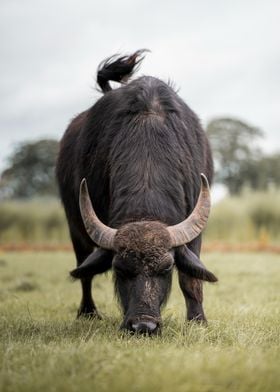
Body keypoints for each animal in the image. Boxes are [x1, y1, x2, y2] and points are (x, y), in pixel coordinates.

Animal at [57, 50, 218, 336]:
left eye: (166, 267)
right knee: (84, 270)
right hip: (75, 227)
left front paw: (198, 320)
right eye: (120, 269)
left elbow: (190, 279)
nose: (144, 325)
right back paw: (88, 312)